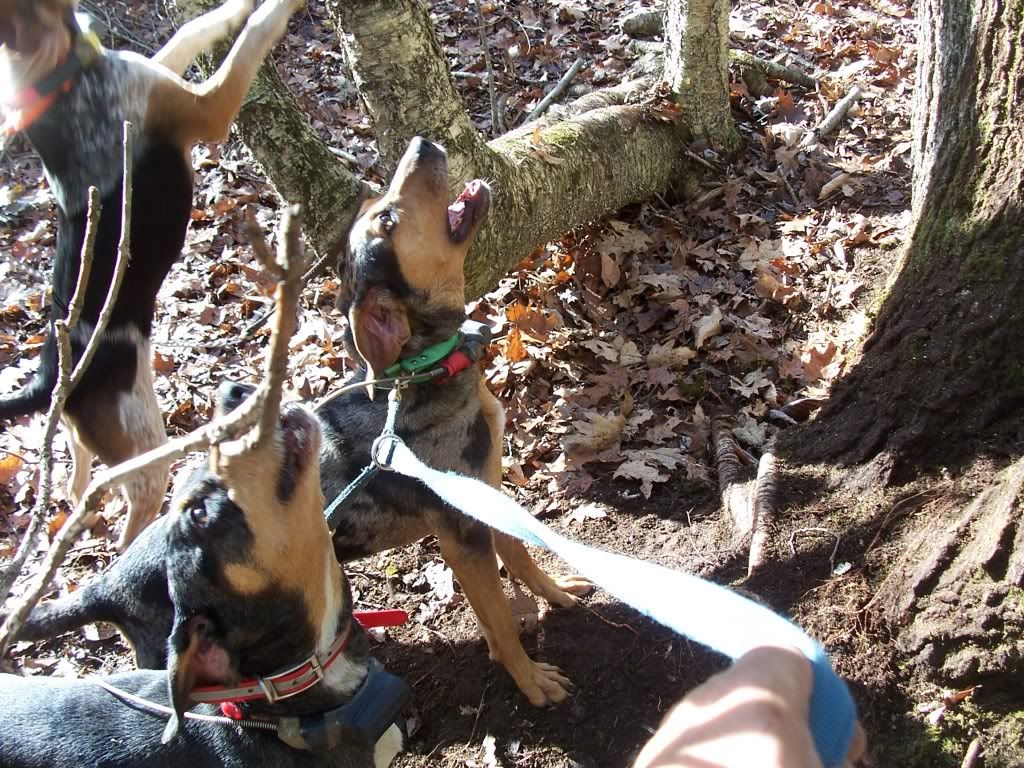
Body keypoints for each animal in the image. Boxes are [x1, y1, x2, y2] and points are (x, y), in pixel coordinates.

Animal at [0, 0, 301, 548]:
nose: (93, 22)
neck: (58, 81)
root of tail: (48, 374)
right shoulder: (207, 107)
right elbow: (254, 36)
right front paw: (277, 7)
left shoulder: (156, 73)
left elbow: (193, 30)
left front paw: (234, 9)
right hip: (144, 455)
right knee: (126, 525)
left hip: (82, 437)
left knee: (75, 486)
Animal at [14, 138, 594, 706]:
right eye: (387, 220)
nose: (422, 140)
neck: (424, 375)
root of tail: (103, 587)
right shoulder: (461, 535)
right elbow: (500, 620)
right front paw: (530, 680)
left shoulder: (488, 495)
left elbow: (521, 556)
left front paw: (556, 593)